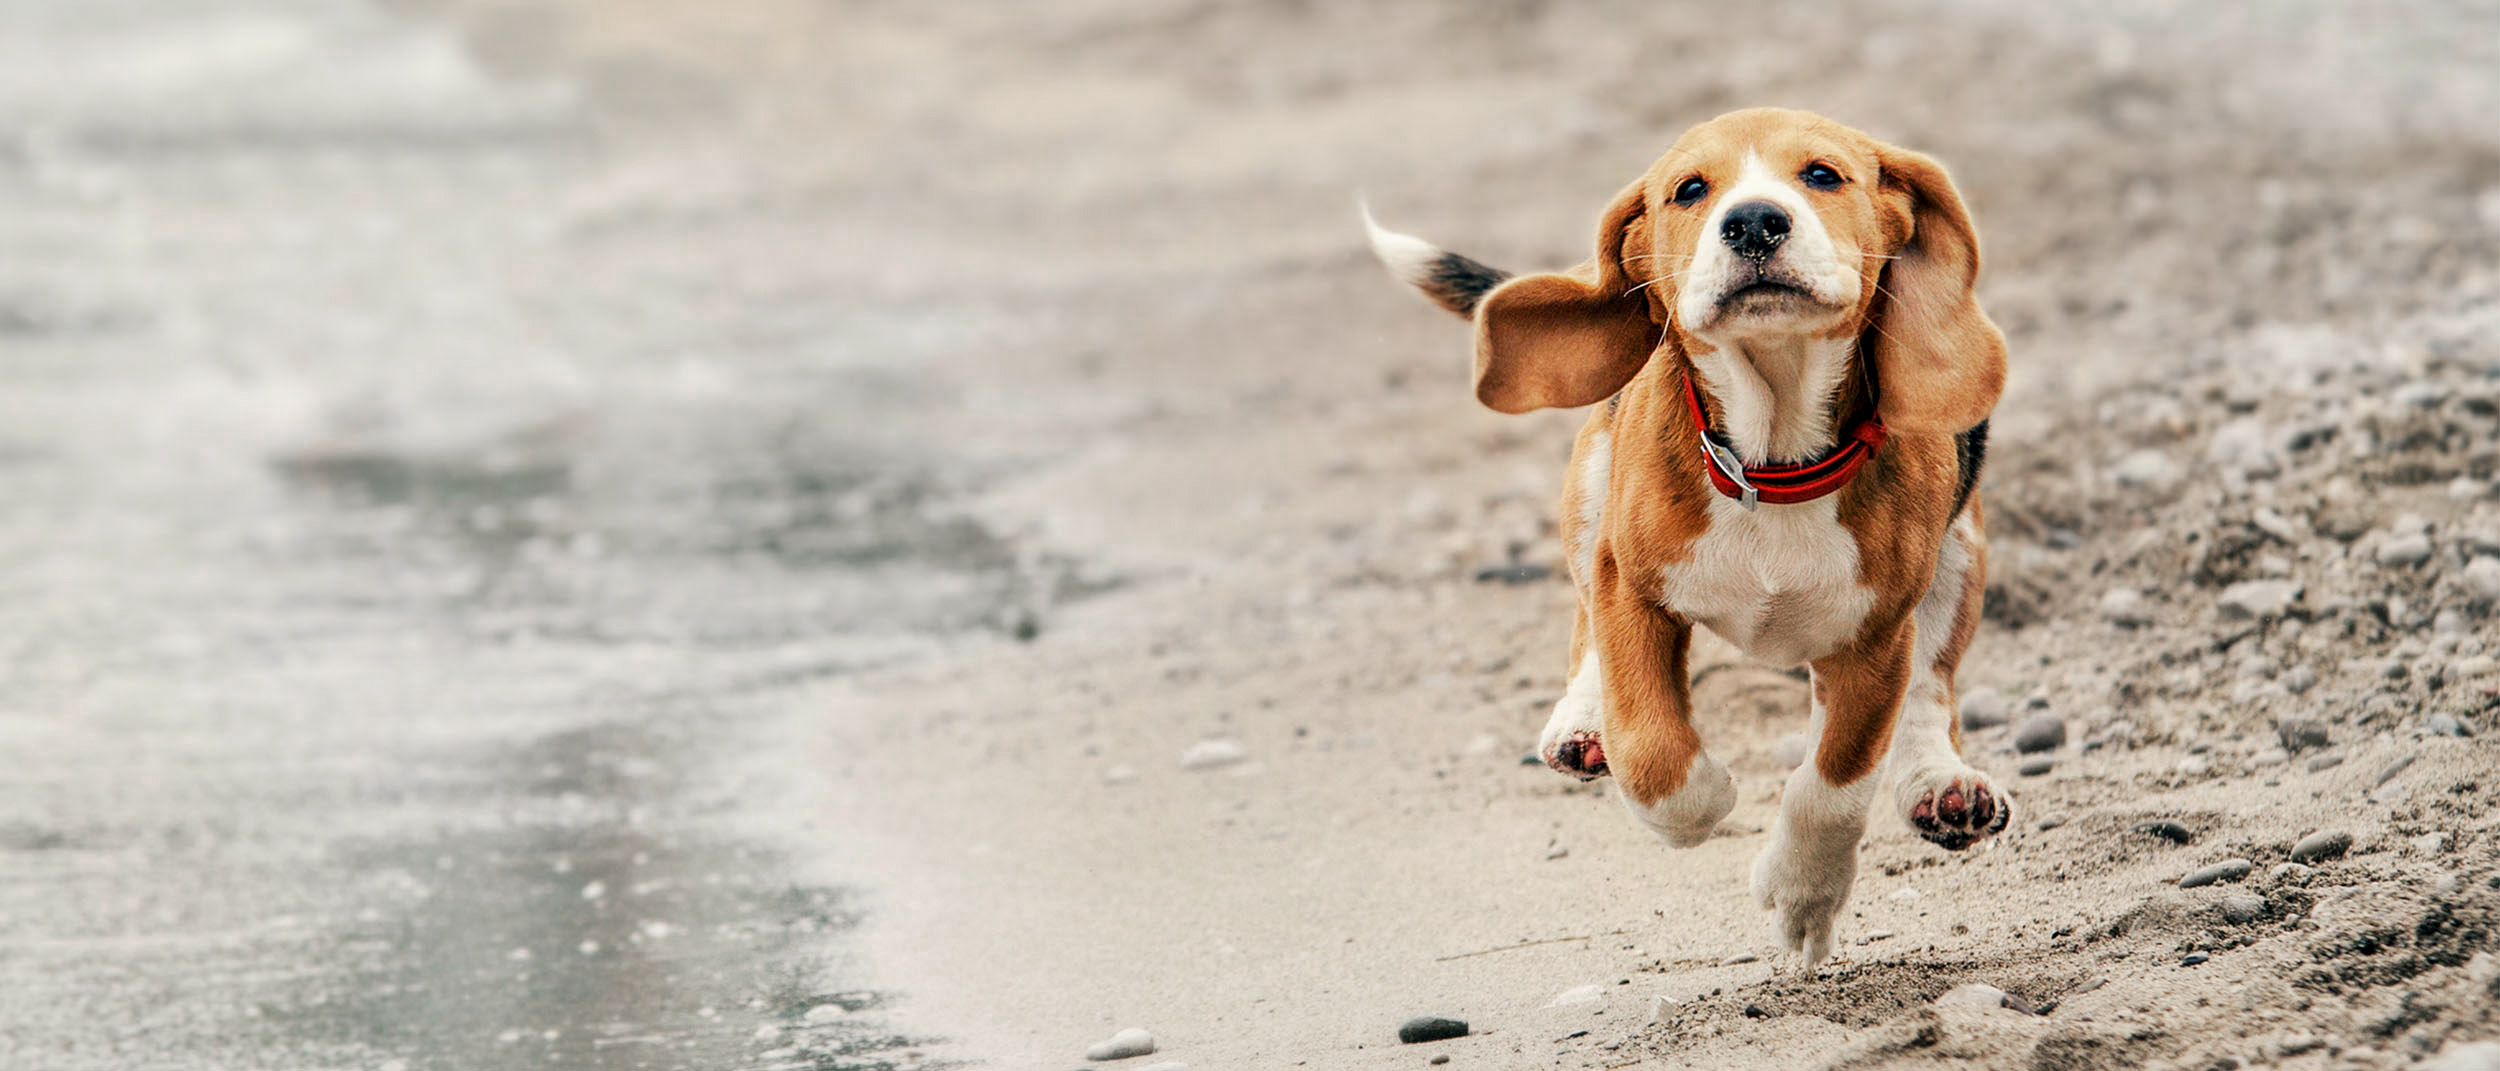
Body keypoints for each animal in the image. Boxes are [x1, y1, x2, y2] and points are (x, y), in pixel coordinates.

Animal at [1370, 110, 2010, 970]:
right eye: (1689, 190)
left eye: (1823, 175)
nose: (1754, 221)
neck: (1772, 459)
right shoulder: (1632, 585)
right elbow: (1651, 749)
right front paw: (1703, 800)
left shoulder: (1875, 639)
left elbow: (1834, 783)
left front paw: (1802, 898)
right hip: (1592, 489)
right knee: (1586, 628)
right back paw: (1582, 725)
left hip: (1961, 551)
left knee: (1932, 688)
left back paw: (1942, 786)